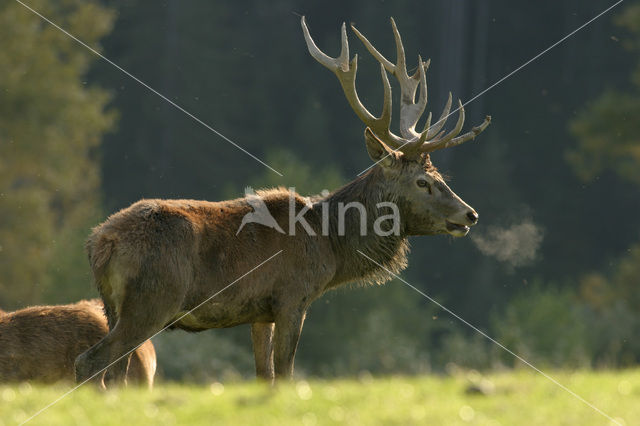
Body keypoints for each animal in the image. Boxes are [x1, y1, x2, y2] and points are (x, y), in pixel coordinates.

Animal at [76, 16, 490, 384]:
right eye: (423, 182)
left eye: (442, 178)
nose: (470, 214)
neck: (330, 244)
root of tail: (100, 242)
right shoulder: (293, 297)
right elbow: (287, 374)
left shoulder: (260, 312)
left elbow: (264, 375)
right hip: (151, 301)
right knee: (90, 361)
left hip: (112, 305)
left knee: (115, 372)